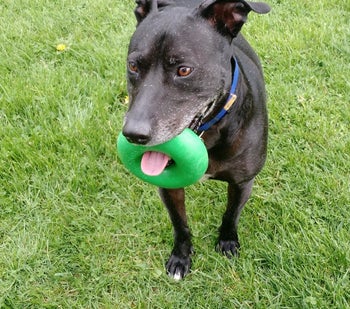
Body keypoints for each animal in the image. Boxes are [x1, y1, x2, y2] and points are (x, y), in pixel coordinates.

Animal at [122, 0, 270, 280]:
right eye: (133, 66)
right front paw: (181, 257)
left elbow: (231, 215)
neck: (208, 135)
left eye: (184, 70)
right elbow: (180, 225)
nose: (133, 134)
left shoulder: (242, 182)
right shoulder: (168, 188)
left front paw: (227, 242)